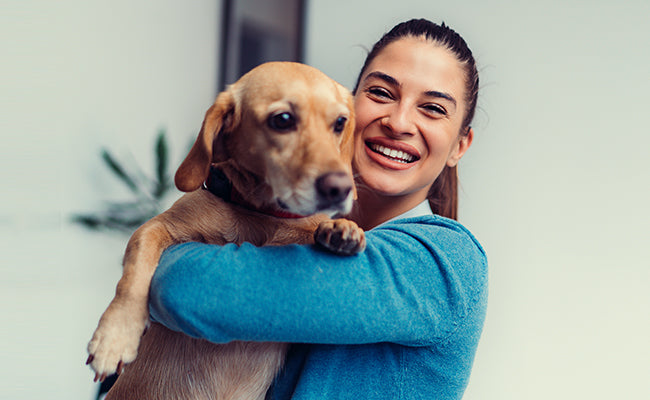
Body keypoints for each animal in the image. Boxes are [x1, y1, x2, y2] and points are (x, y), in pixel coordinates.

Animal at [85, 61, 364, 398]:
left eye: (340, 123)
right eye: (282, 119)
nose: (340, 188)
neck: (259, 213)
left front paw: (341, 227)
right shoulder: (155, 228)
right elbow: (133, 276)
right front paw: (114, 339)